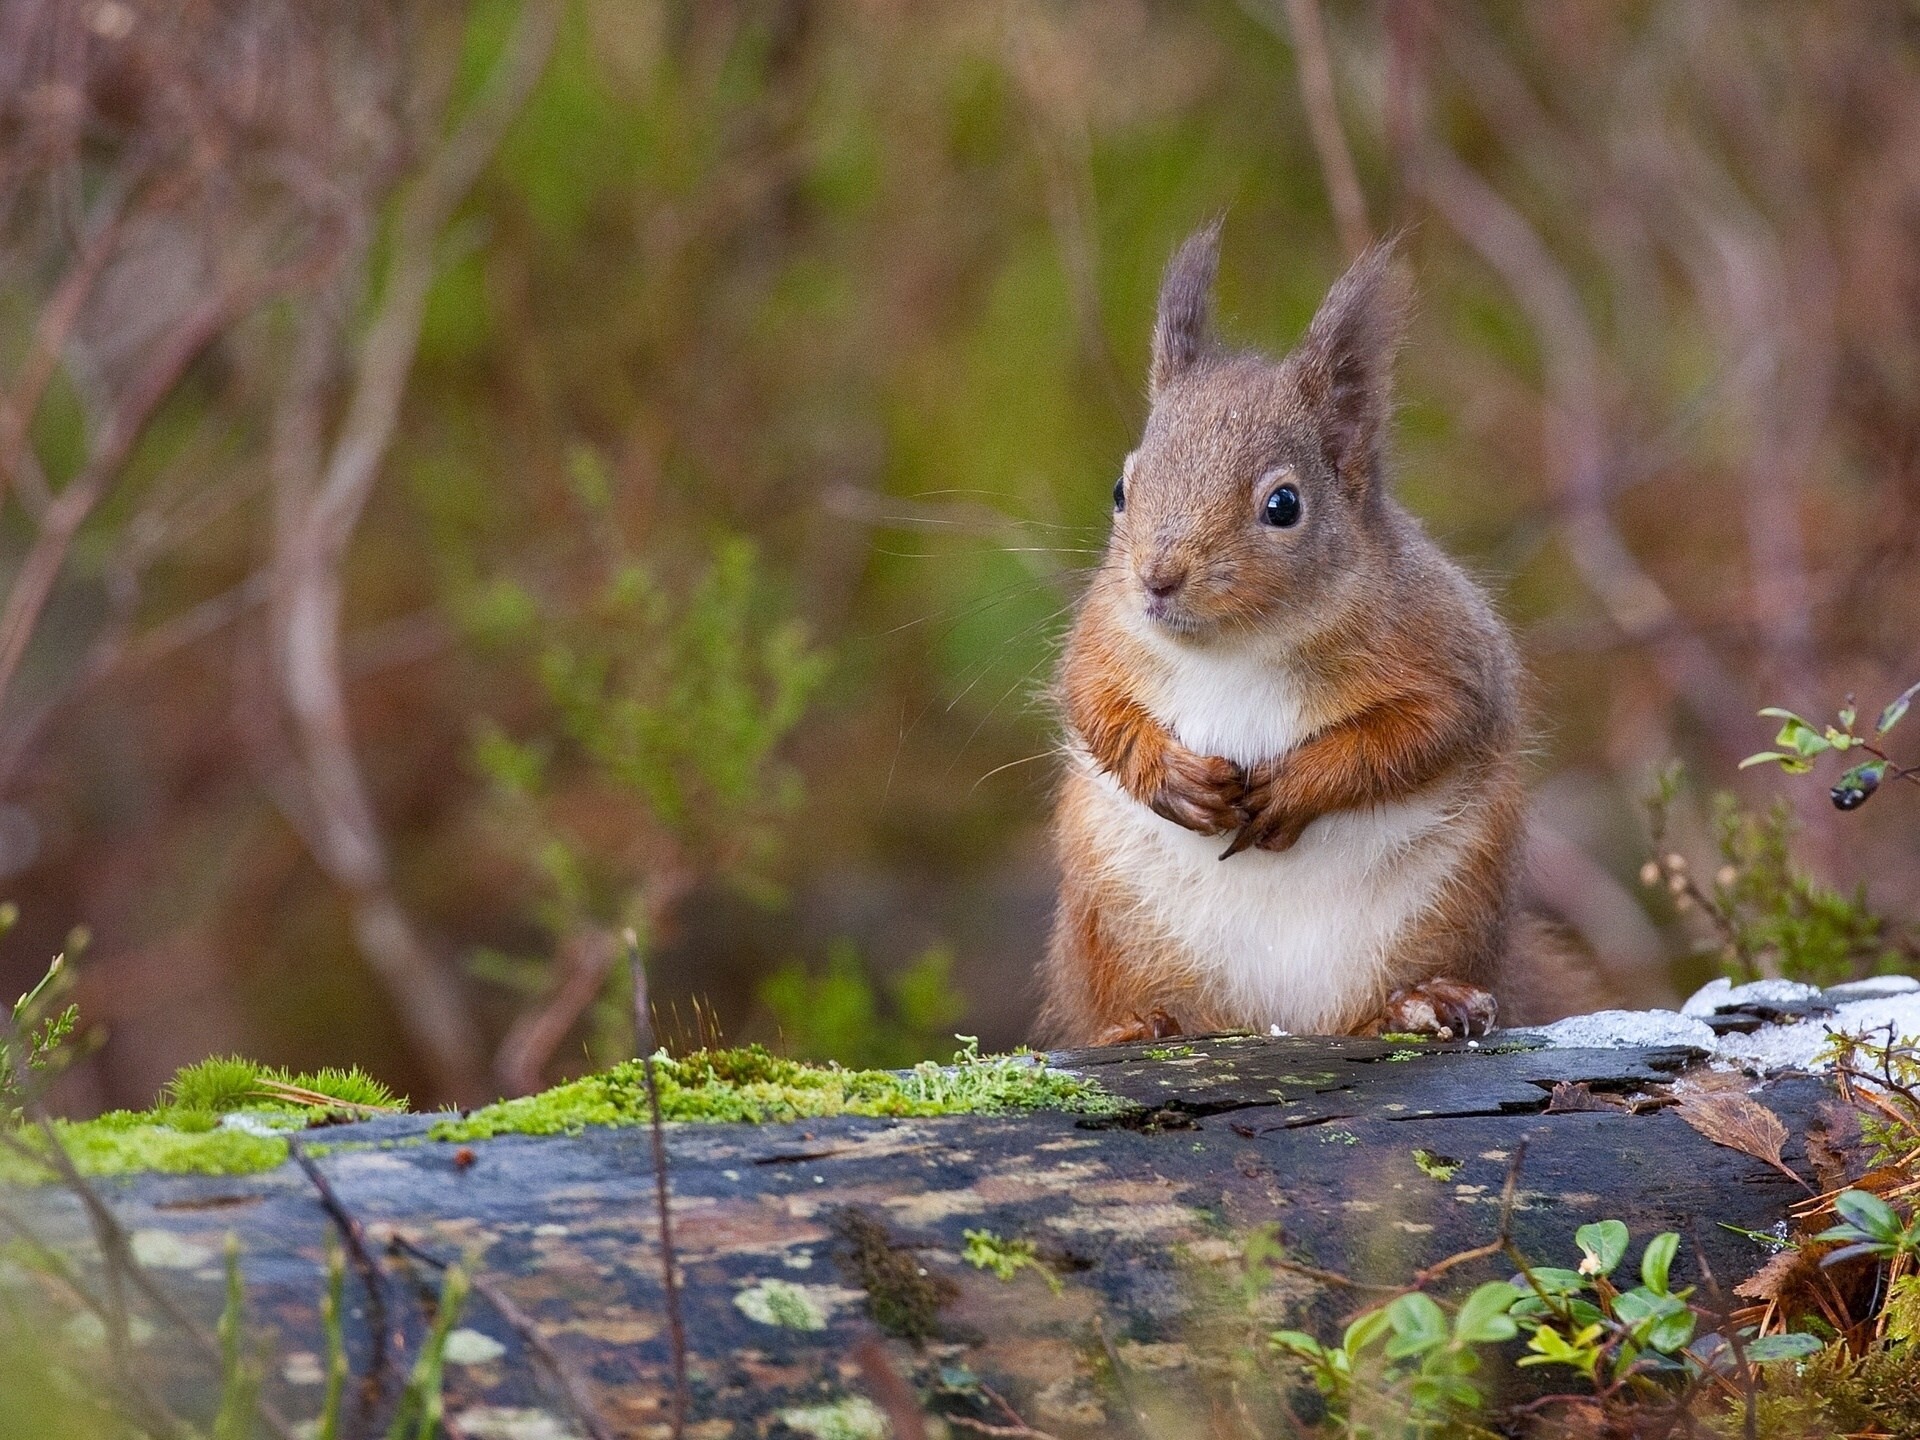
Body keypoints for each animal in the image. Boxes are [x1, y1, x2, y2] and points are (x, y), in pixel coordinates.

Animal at [1036, 219, 1528, 1044]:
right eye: (1121, 489)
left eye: (1284, 505)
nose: (1156, 579)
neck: (1239, 646)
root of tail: (1279, 1019)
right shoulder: (1105, 637)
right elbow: (1093, 706)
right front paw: (1174, 778)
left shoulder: (1446, 648)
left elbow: (1422, 730)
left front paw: (1296, 787)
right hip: (1112, 925)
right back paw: (1144, 1024)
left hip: (1447, 907)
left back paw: (1422, 1002)